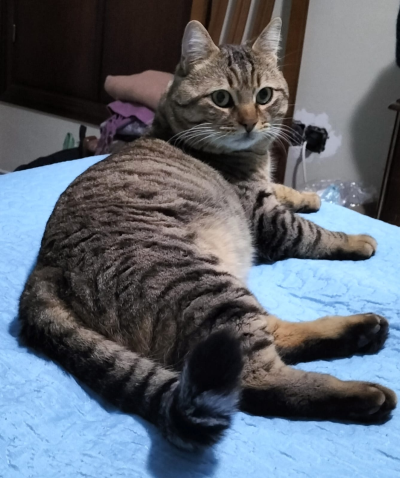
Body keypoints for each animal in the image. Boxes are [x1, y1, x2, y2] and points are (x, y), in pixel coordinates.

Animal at [19, 18, 396, 450]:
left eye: (264, 95)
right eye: (222, 98)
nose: (250, 122)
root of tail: (42, 275)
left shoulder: (267, 193)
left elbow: (284, 191)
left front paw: (309, 195)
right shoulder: (268, 222)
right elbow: (315, 234)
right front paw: (357, 238)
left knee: (271, 334)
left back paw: (363, 330)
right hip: (208, 286)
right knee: (257, 380)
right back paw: (364, 392)